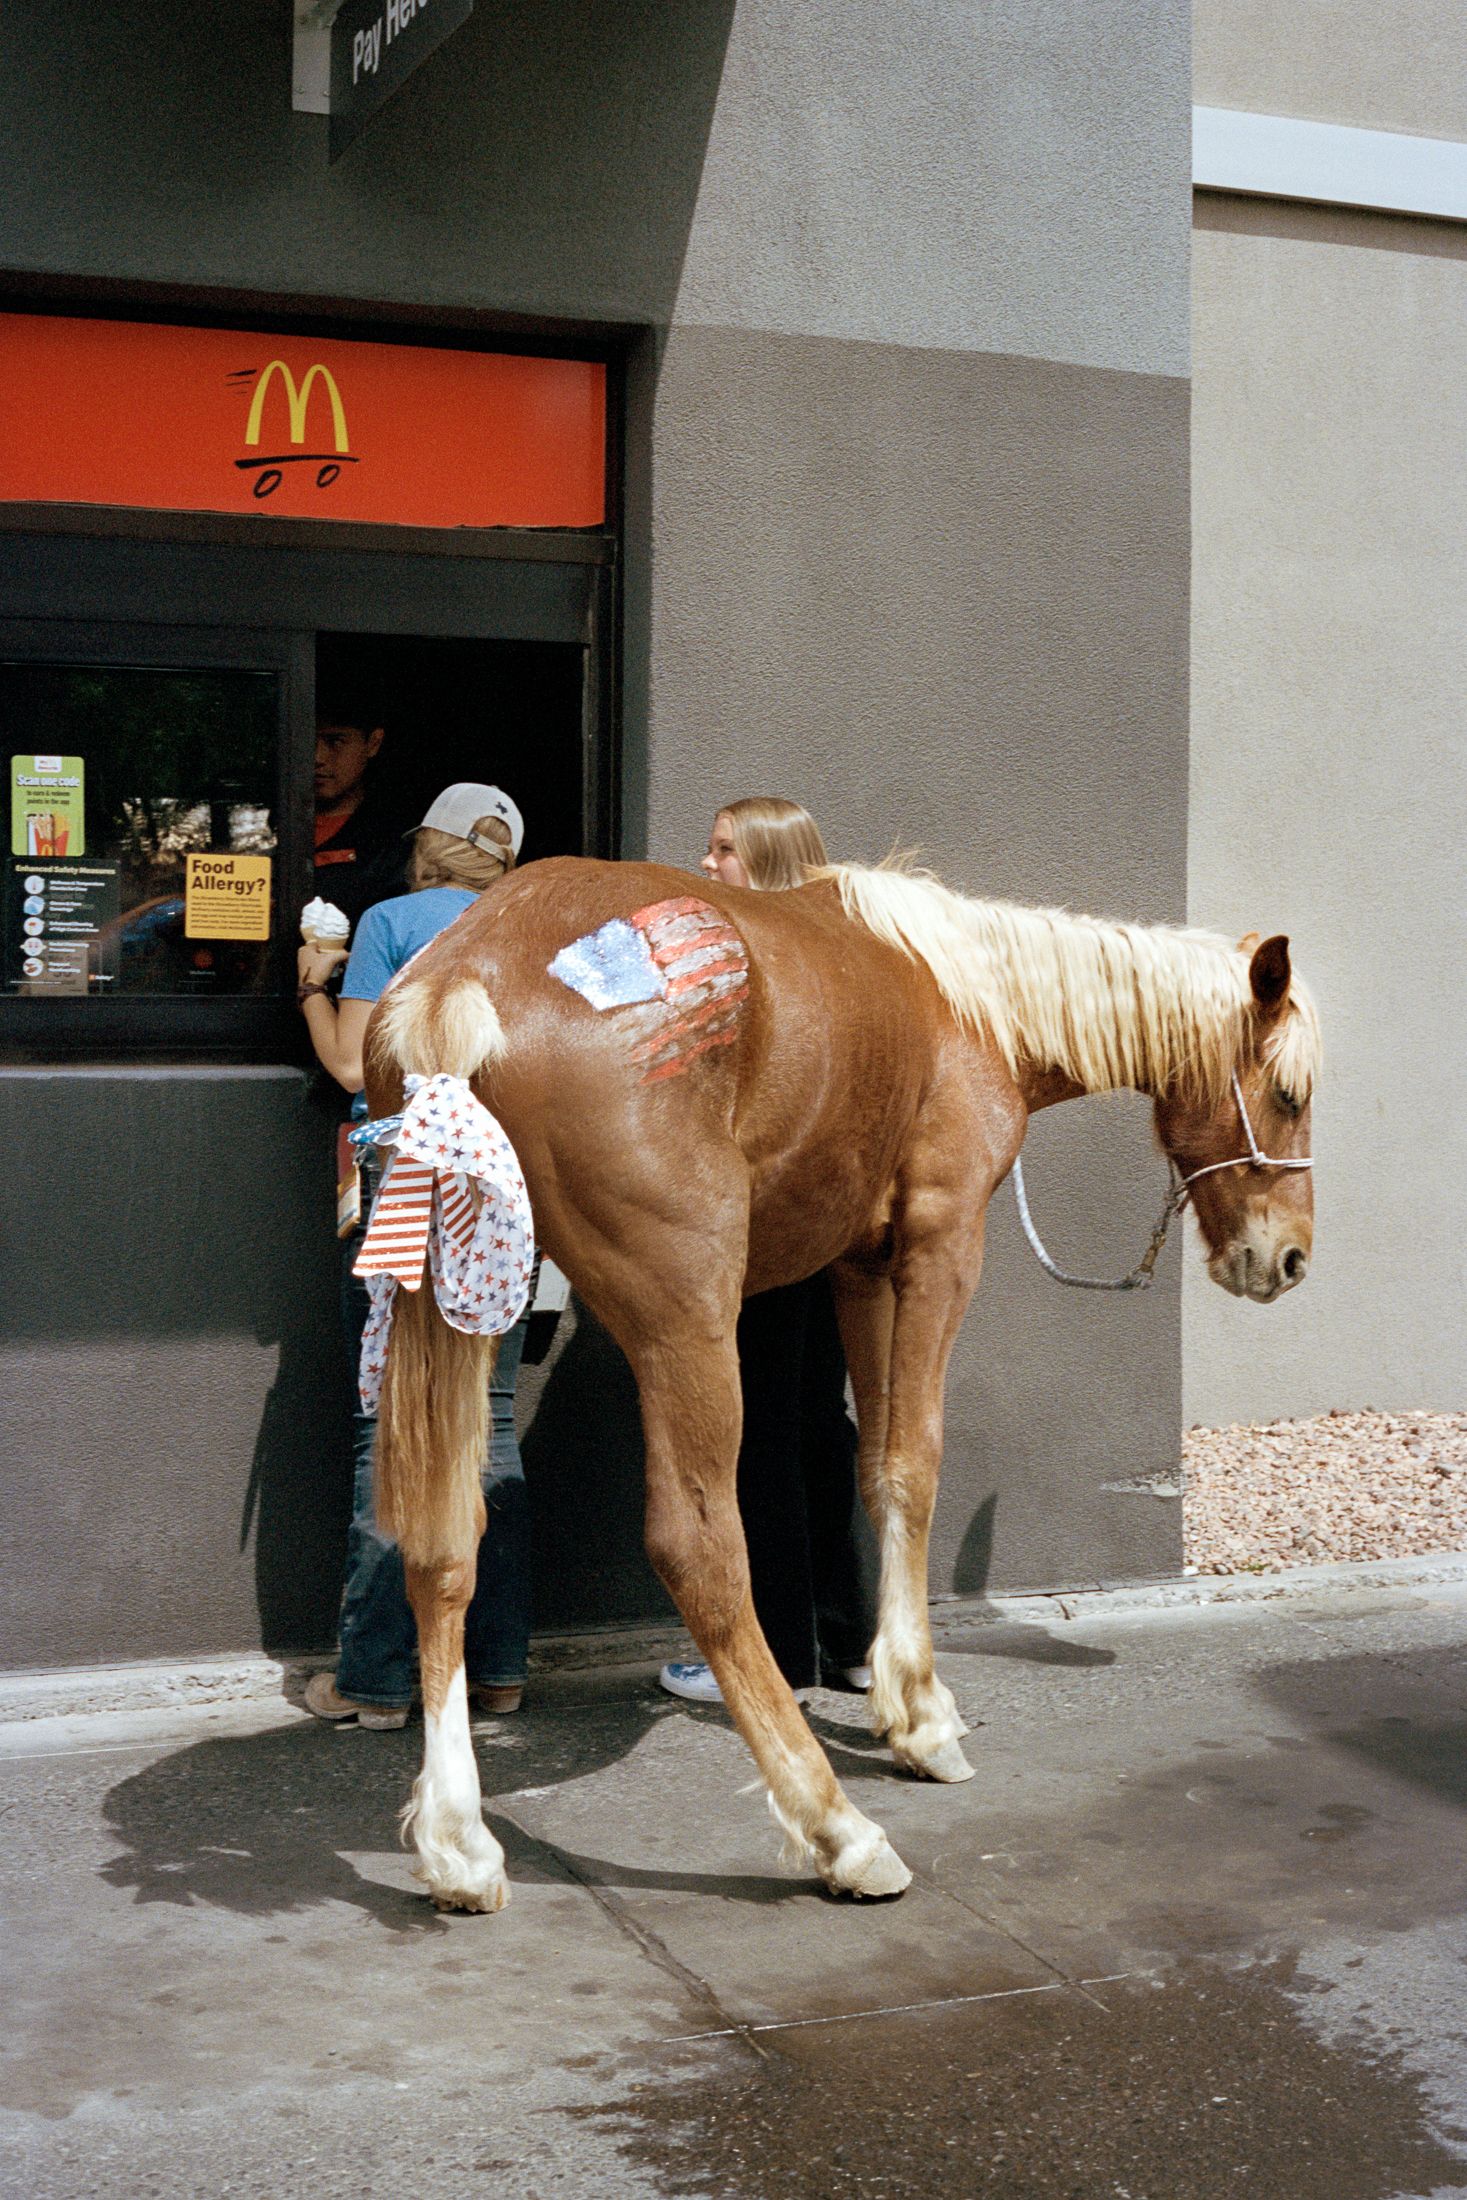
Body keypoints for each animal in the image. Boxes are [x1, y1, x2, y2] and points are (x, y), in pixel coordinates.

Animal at [358, 853, 1319, 1909]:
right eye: (1286, 1092)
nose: (1286, 1260)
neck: (966, 1001)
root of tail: (471, 971)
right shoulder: (941, 1247)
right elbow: (913, 1463)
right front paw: (924, 1719)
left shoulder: (861, 1267)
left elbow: (874, 1464)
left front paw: (903, 1701)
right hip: (685, 1316)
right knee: (699, 1550)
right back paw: (836, 1828)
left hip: (453, 1308)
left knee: (442, 1541)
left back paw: (457, 1842)